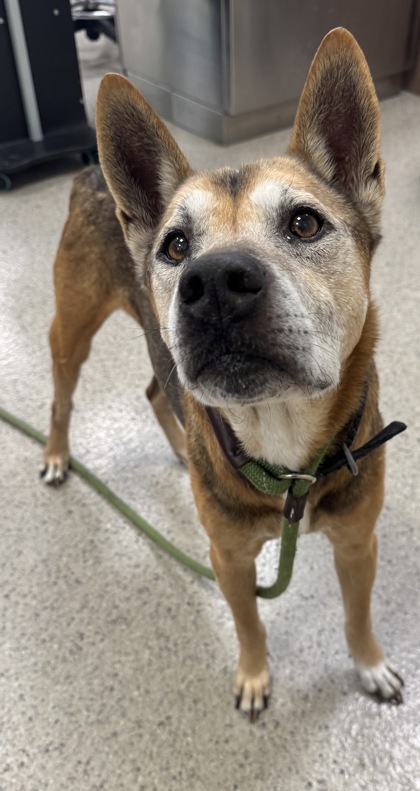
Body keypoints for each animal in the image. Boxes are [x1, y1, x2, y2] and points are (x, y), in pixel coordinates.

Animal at [41, 28, 404, 719]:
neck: (286, 457)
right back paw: (54, 453)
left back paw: (182, 446)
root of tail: (88, 172)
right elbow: (250, 623)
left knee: (158, 390)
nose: (210, 284)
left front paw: (369, 664)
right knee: (62, 397)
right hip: (72, 328)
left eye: (305, 222)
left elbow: (357, 616)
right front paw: (256, 676)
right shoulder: (229, 561)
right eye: (176, 246)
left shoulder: (359, 543)